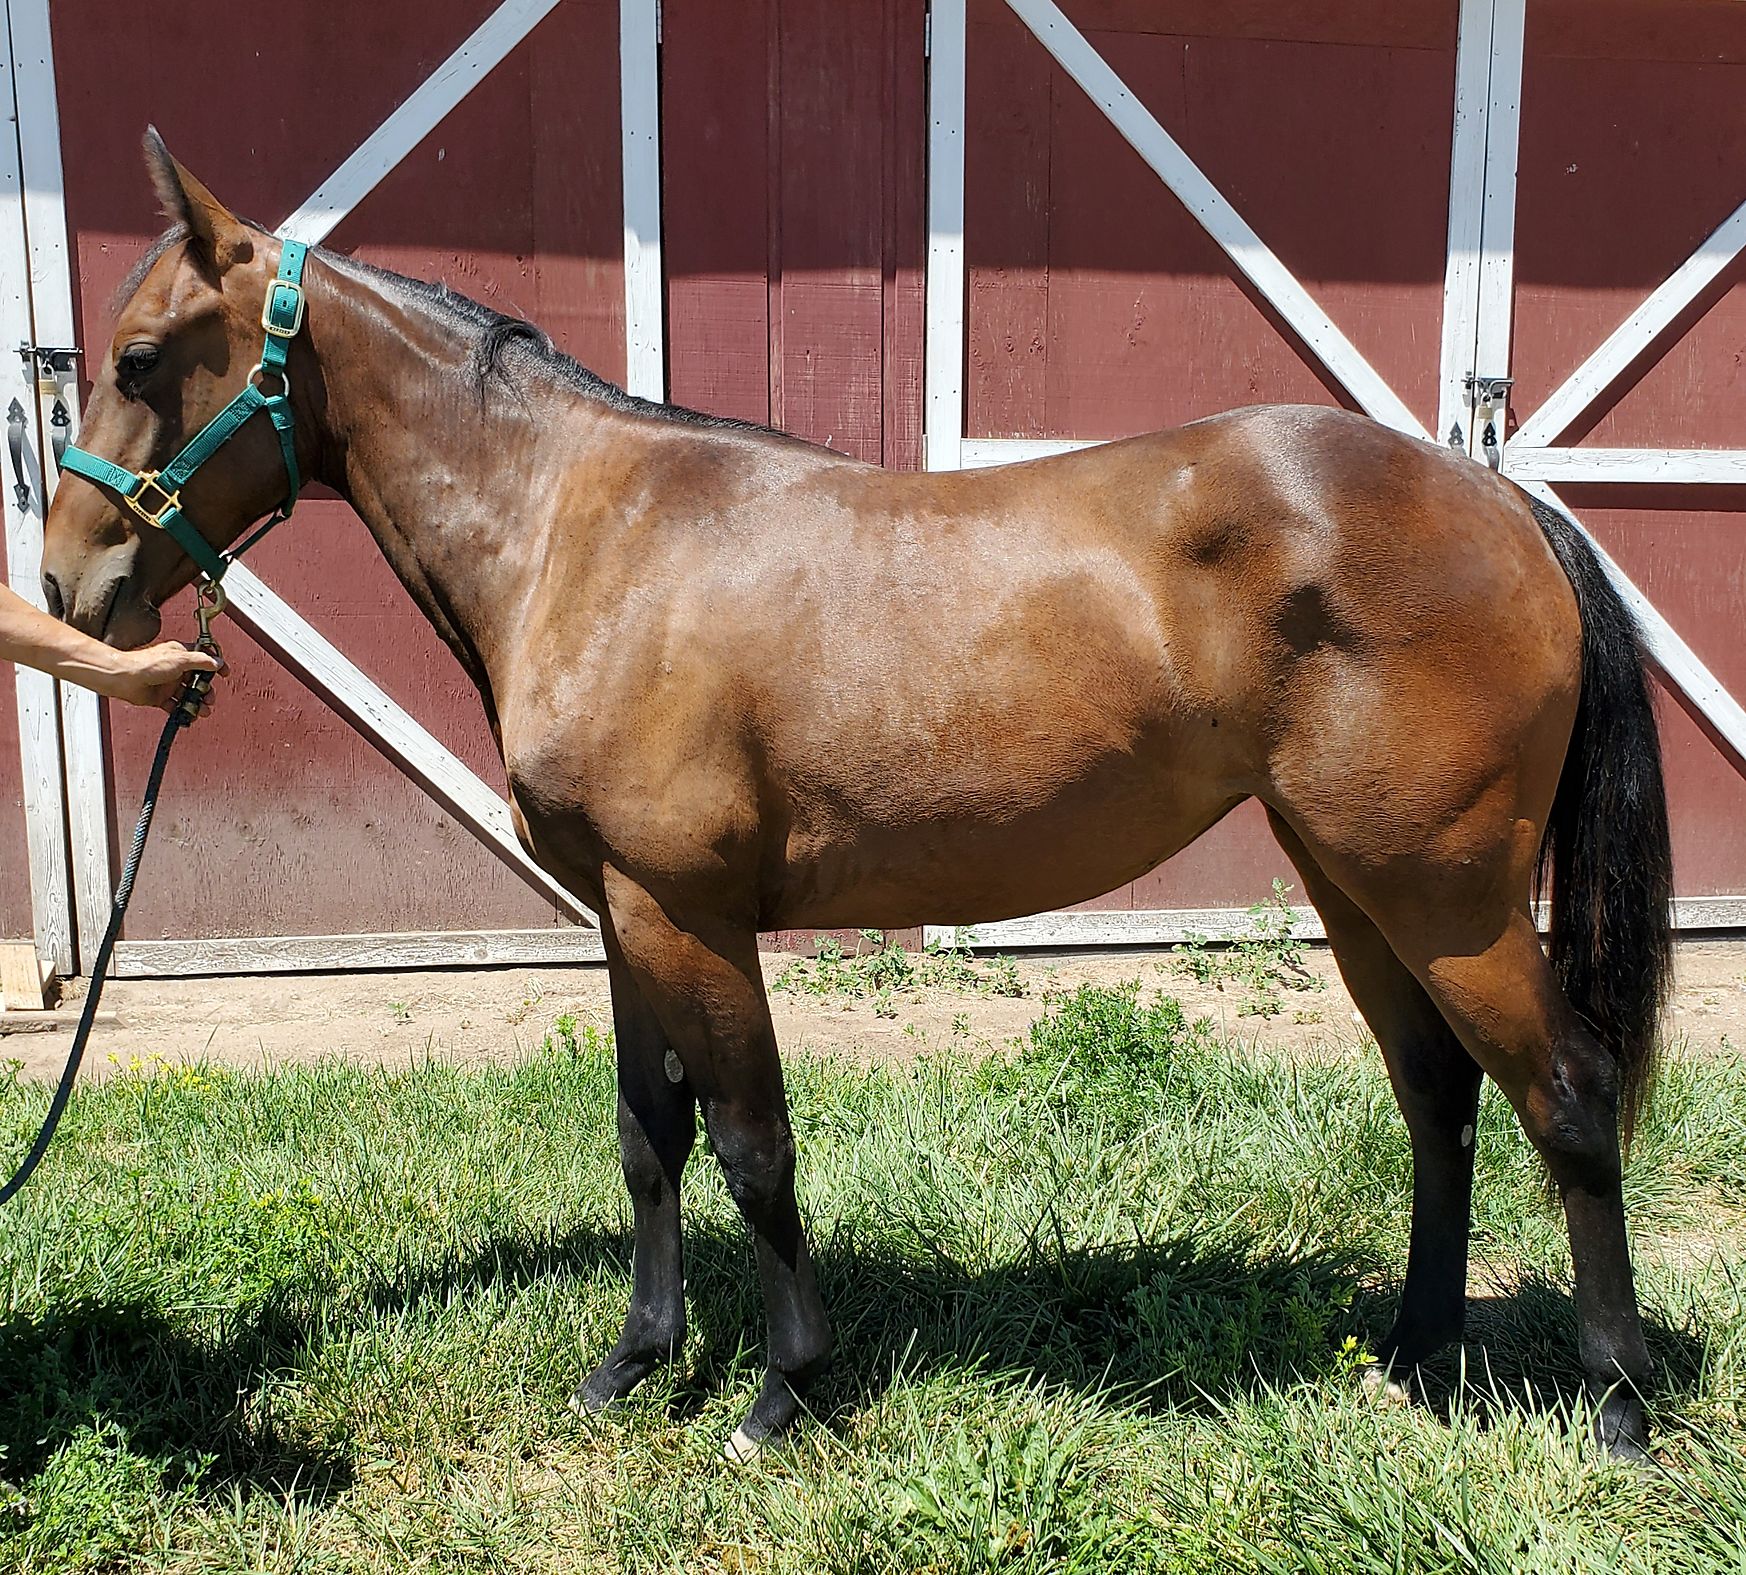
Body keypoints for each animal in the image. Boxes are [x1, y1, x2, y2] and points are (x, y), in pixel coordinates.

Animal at [43, 133, 1673, 1463]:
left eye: (140, 359)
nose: (68, 589)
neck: (589, 534)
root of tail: (1497, 499)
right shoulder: (622, 913)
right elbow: (648, 1133)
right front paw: (635, 1362)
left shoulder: (691, 914)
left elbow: (753, 1146)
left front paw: (782, 1389)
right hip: (1355, 882)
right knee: (1440, 1097)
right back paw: (1412, 1357)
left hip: (1446, 896)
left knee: (1568, 1096)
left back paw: (1615, 1400)